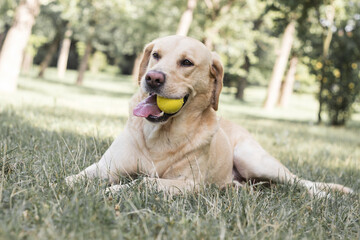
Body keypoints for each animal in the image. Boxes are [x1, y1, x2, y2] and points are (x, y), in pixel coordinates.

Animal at [66, 35, 352, 197]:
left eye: (187, 63)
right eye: (156, 55)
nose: (152, 78)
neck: (160, 136)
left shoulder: (188, 184)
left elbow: (144, 182)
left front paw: (116, 189)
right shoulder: (105, 167)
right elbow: (76, 177)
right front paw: (69, 183)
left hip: (252, 158)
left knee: (299, 182)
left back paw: (324, 196)